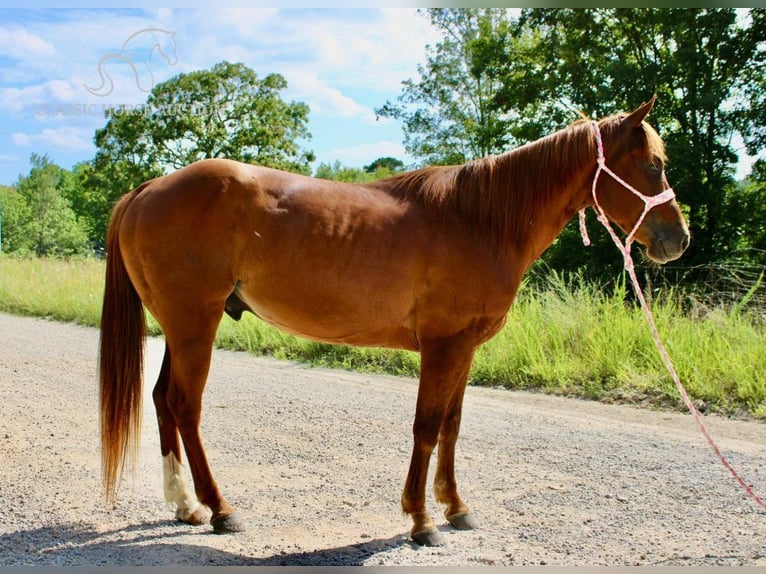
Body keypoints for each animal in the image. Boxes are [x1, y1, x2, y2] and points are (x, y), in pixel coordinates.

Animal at [99, 99, 692, 548]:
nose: (679, 240)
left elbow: (451, 425)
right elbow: (426, 427)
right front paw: (422, 520)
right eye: (654, 164)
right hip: (194, 325)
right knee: (185, 406)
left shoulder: (465, 348)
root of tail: (148, 188)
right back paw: (221, 509)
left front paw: (456, 507)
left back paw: (185, 505)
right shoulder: (442, 345)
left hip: (181, 327)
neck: (480, 220)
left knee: (162, 399)